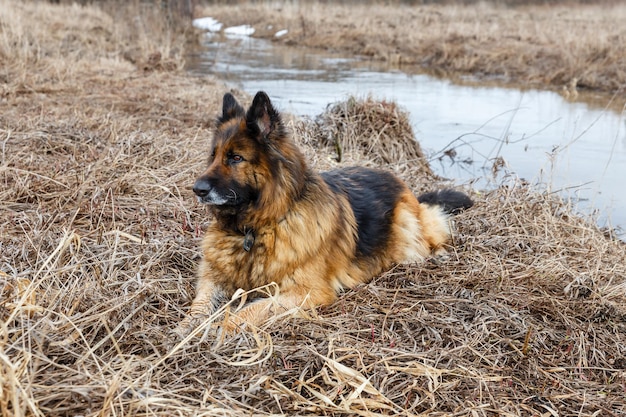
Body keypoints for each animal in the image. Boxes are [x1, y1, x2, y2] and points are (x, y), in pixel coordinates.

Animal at [173, 91, 470, 334]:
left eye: (236, 158)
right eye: (213, 156)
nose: (197, 189)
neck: (258, 227)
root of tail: (393, 176)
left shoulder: (307, 292)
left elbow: (252, 308)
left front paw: (224, 327)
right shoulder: (212, 276)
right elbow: (200, 304)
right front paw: (186, 327)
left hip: (408, 229)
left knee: (433, 229)